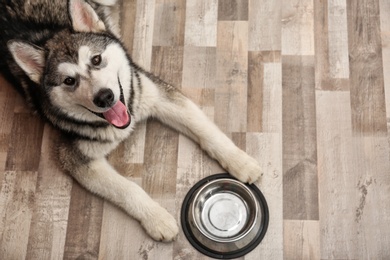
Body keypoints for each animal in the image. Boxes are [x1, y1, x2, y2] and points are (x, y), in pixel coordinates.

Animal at [0, 0, 262, 242]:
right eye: (69, 81)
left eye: (96, 60)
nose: (104, 97)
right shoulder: (75, 157)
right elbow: (127, 189)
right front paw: (156, 218)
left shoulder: (160, 96)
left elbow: (208, 132)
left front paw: (240, 161)